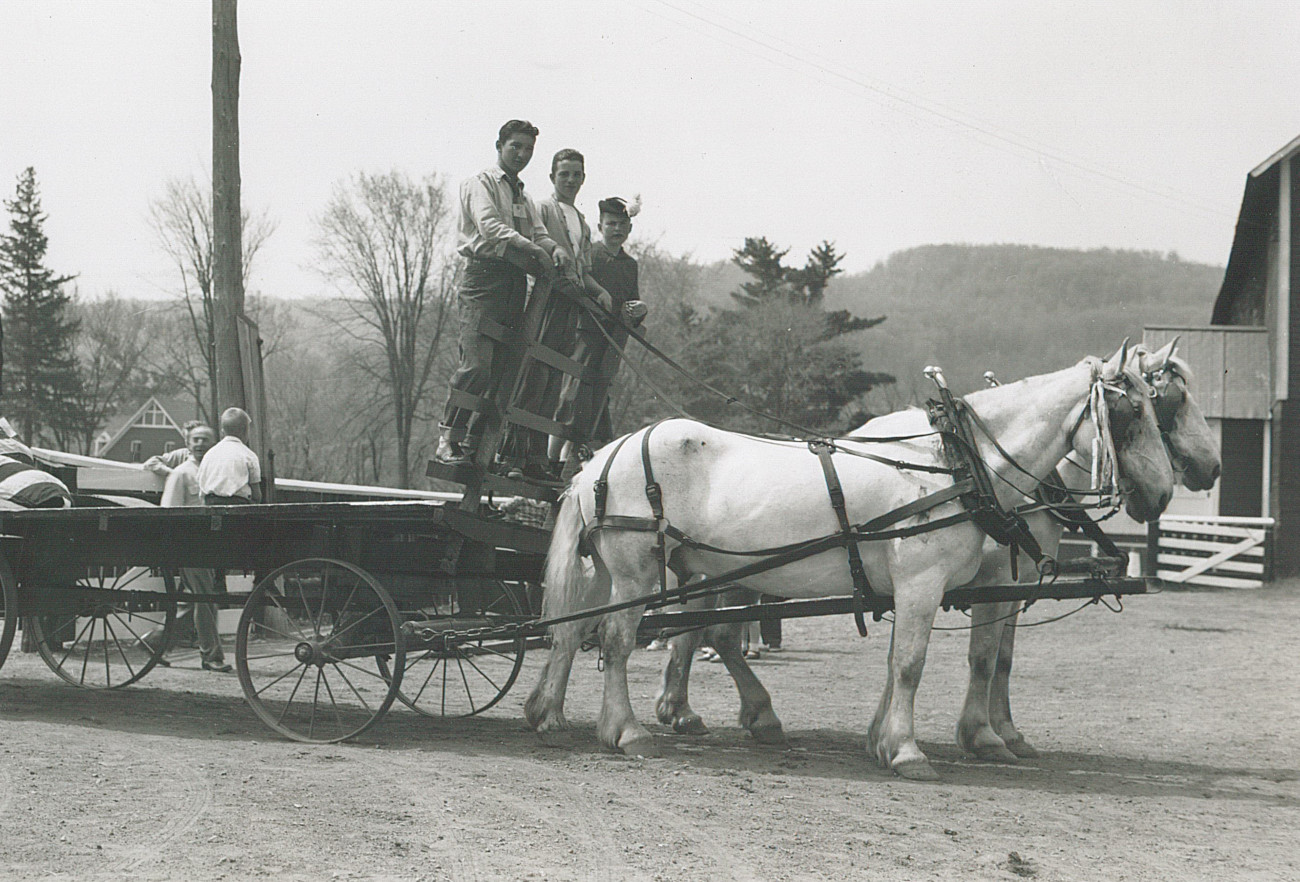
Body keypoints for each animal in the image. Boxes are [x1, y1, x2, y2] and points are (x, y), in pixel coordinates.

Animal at [522, 346, 1175, 780]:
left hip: (617, 572)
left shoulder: (914, 588)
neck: (954, 464)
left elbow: (900, 663)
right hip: (636, 572)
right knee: (616, 640)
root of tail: (603, 455)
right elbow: (912, 664)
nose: (1164, 494)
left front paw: (883, 741)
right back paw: (626, 730)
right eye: (1136, 413)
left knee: (572, 632)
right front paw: (909, 751)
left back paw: (548, 713)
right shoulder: (922, 582)